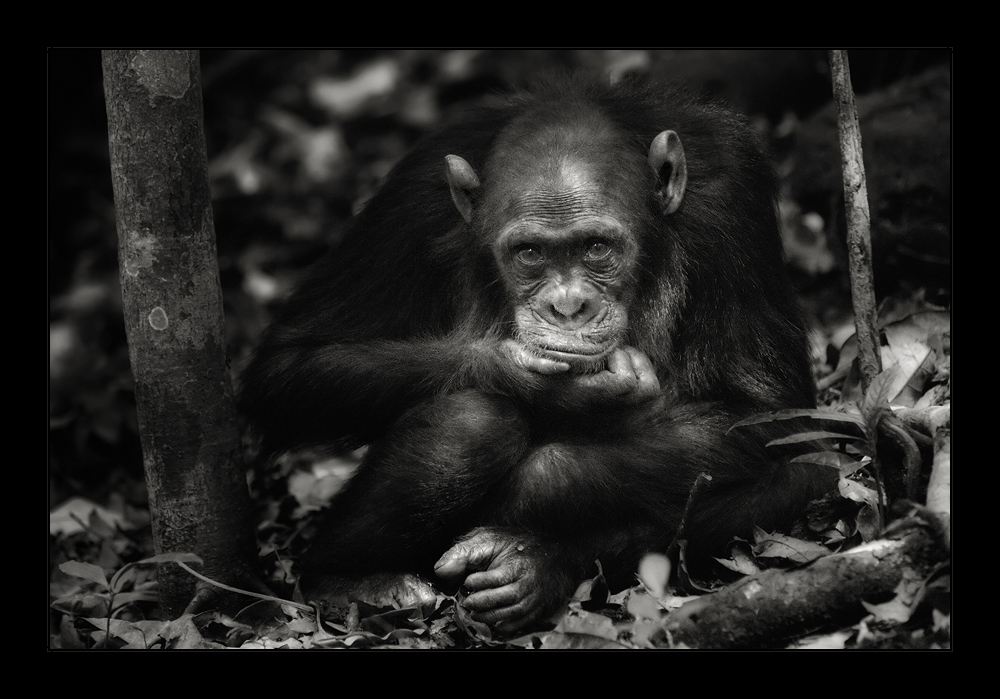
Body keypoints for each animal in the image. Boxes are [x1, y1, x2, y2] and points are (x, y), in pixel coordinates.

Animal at [240, 75, 836, 636]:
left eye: (596, 248)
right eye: (529, 253)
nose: (567, 305)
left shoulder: (733, 203)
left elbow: (766, 415)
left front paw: (533, 486)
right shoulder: (407, 207)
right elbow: (294, 365)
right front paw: (544, 387)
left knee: (807, 475)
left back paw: (533, 564)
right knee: (468, 423)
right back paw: (349, 580)